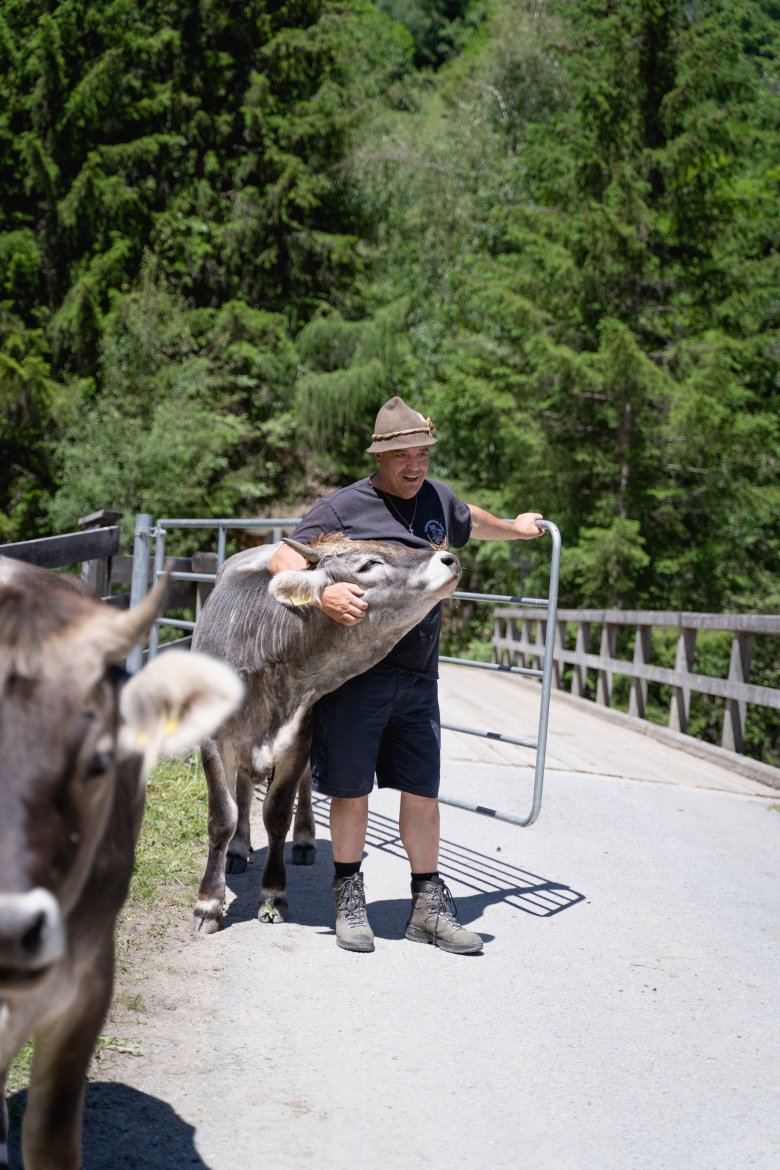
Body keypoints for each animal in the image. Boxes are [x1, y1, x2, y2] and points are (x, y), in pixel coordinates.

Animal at [189, 533, 460, 931]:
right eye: (369, 563)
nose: (449, 558)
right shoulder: (211, 738)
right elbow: (222, 817)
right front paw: (208, 902)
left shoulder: (299, 738)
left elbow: (277, 814)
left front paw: (273, 895)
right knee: (243, 787)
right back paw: (237, 850)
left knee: (300, 787)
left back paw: (303, 841)